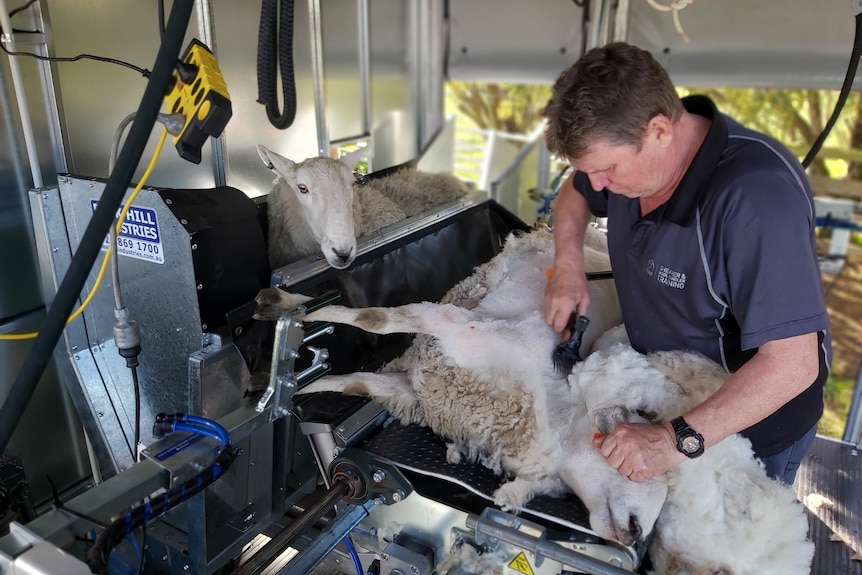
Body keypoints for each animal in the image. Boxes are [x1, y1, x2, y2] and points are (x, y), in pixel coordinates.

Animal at [253, 227, 812, 572]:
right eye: (642, 469)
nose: (635, 538)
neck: (541, 402)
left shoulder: (428, 368)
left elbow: (360, 377)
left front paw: (300, 382)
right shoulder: (447, 334)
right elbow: (371, 327)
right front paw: (291, 325)